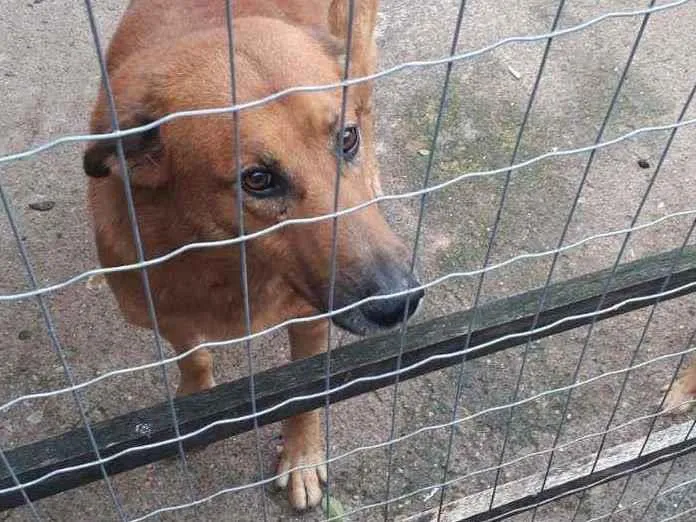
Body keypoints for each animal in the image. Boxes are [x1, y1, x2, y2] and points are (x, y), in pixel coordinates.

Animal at [80, 0, 424, 508]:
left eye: (347, 140)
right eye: (258, 180)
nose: (399, 301)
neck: (232, 260)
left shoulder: (310, 319)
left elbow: (304, 397)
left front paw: (301, 459)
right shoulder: (164, 311)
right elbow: (194, 358)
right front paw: (194, 406)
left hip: (357, 50)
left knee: (366, 95)